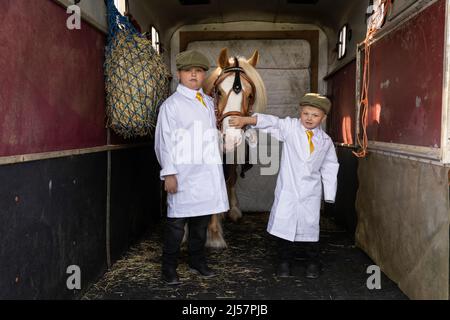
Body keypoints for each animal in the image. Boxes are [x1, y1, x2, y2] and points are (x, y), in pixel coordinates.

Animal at [203, 47, 268, 249]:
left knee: (231, 178)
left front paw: (214, 234)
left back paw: (232, 209)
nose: (231, 137)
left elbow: (227, 179)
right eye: (218, 92)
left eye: (250, 95)